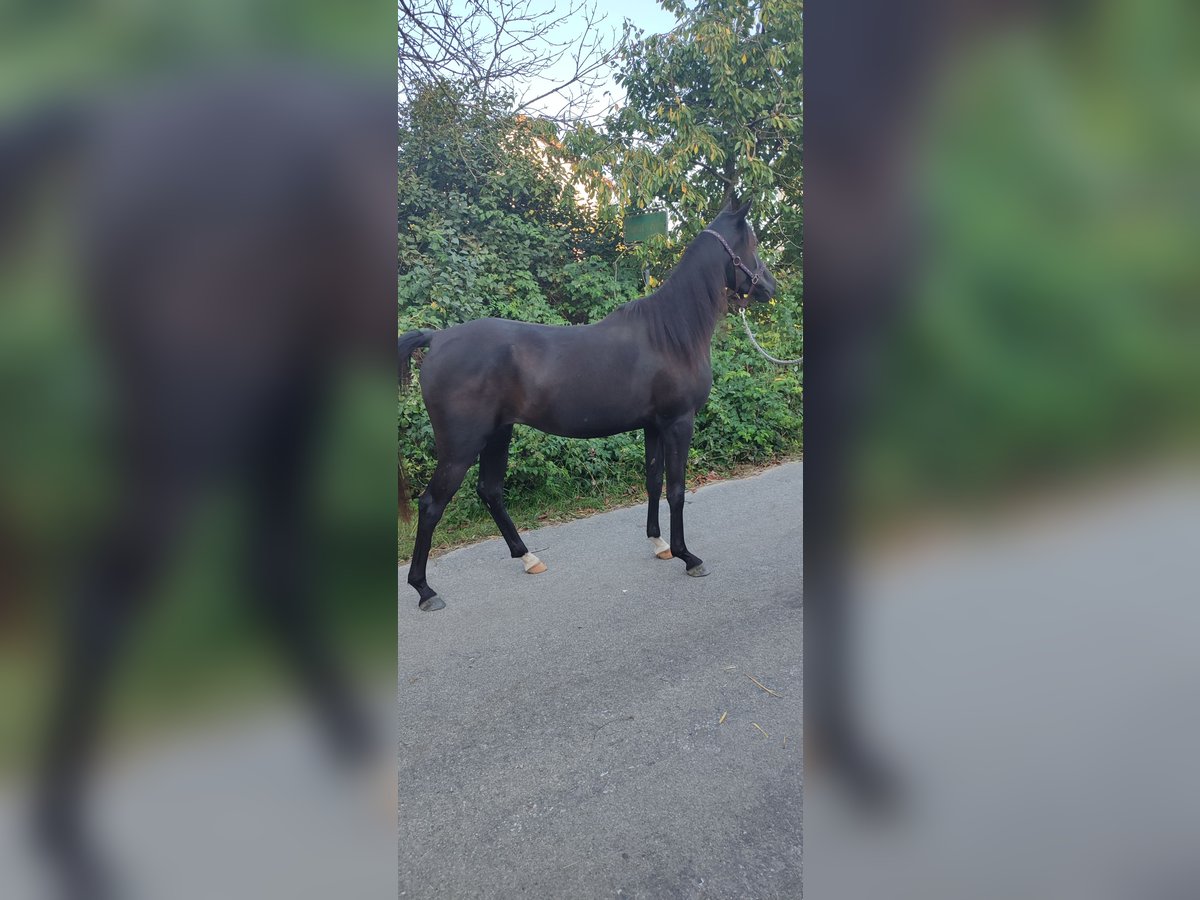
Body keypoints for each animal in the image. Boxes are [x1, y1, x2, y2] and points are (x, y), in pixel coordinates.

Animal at [400, 200, 777, 614]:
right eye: (752, 243)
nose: (771, 287)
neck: (670, 334)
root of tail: (437, 339)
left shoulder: (653, 425)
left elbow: (653, 480)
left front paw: (659, 543)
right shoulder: (679, 422)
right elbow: (677, 489)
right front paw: (687, 556)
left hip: (499, 433)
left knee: (490, 491)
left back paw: (528, 557)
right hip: (461, 446)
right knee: (431, 504)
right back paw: (424, 590)